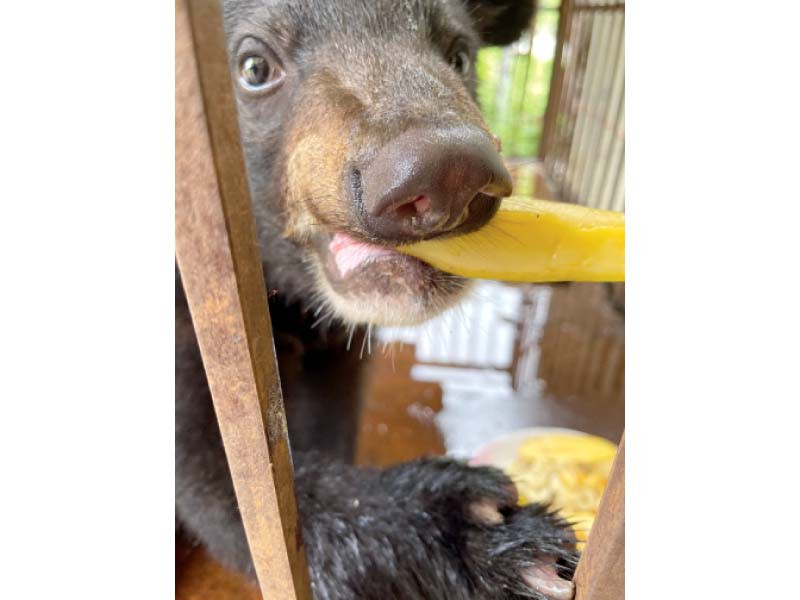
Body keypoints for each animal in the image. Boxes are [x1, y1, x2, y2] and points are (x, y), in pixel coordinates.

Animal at [175, 2, 580, 596]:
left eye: (460, 55)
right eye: (253, 66)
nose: (448, 173)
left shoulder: (338, 345)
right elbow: (227, 476)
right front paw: (485, 533)